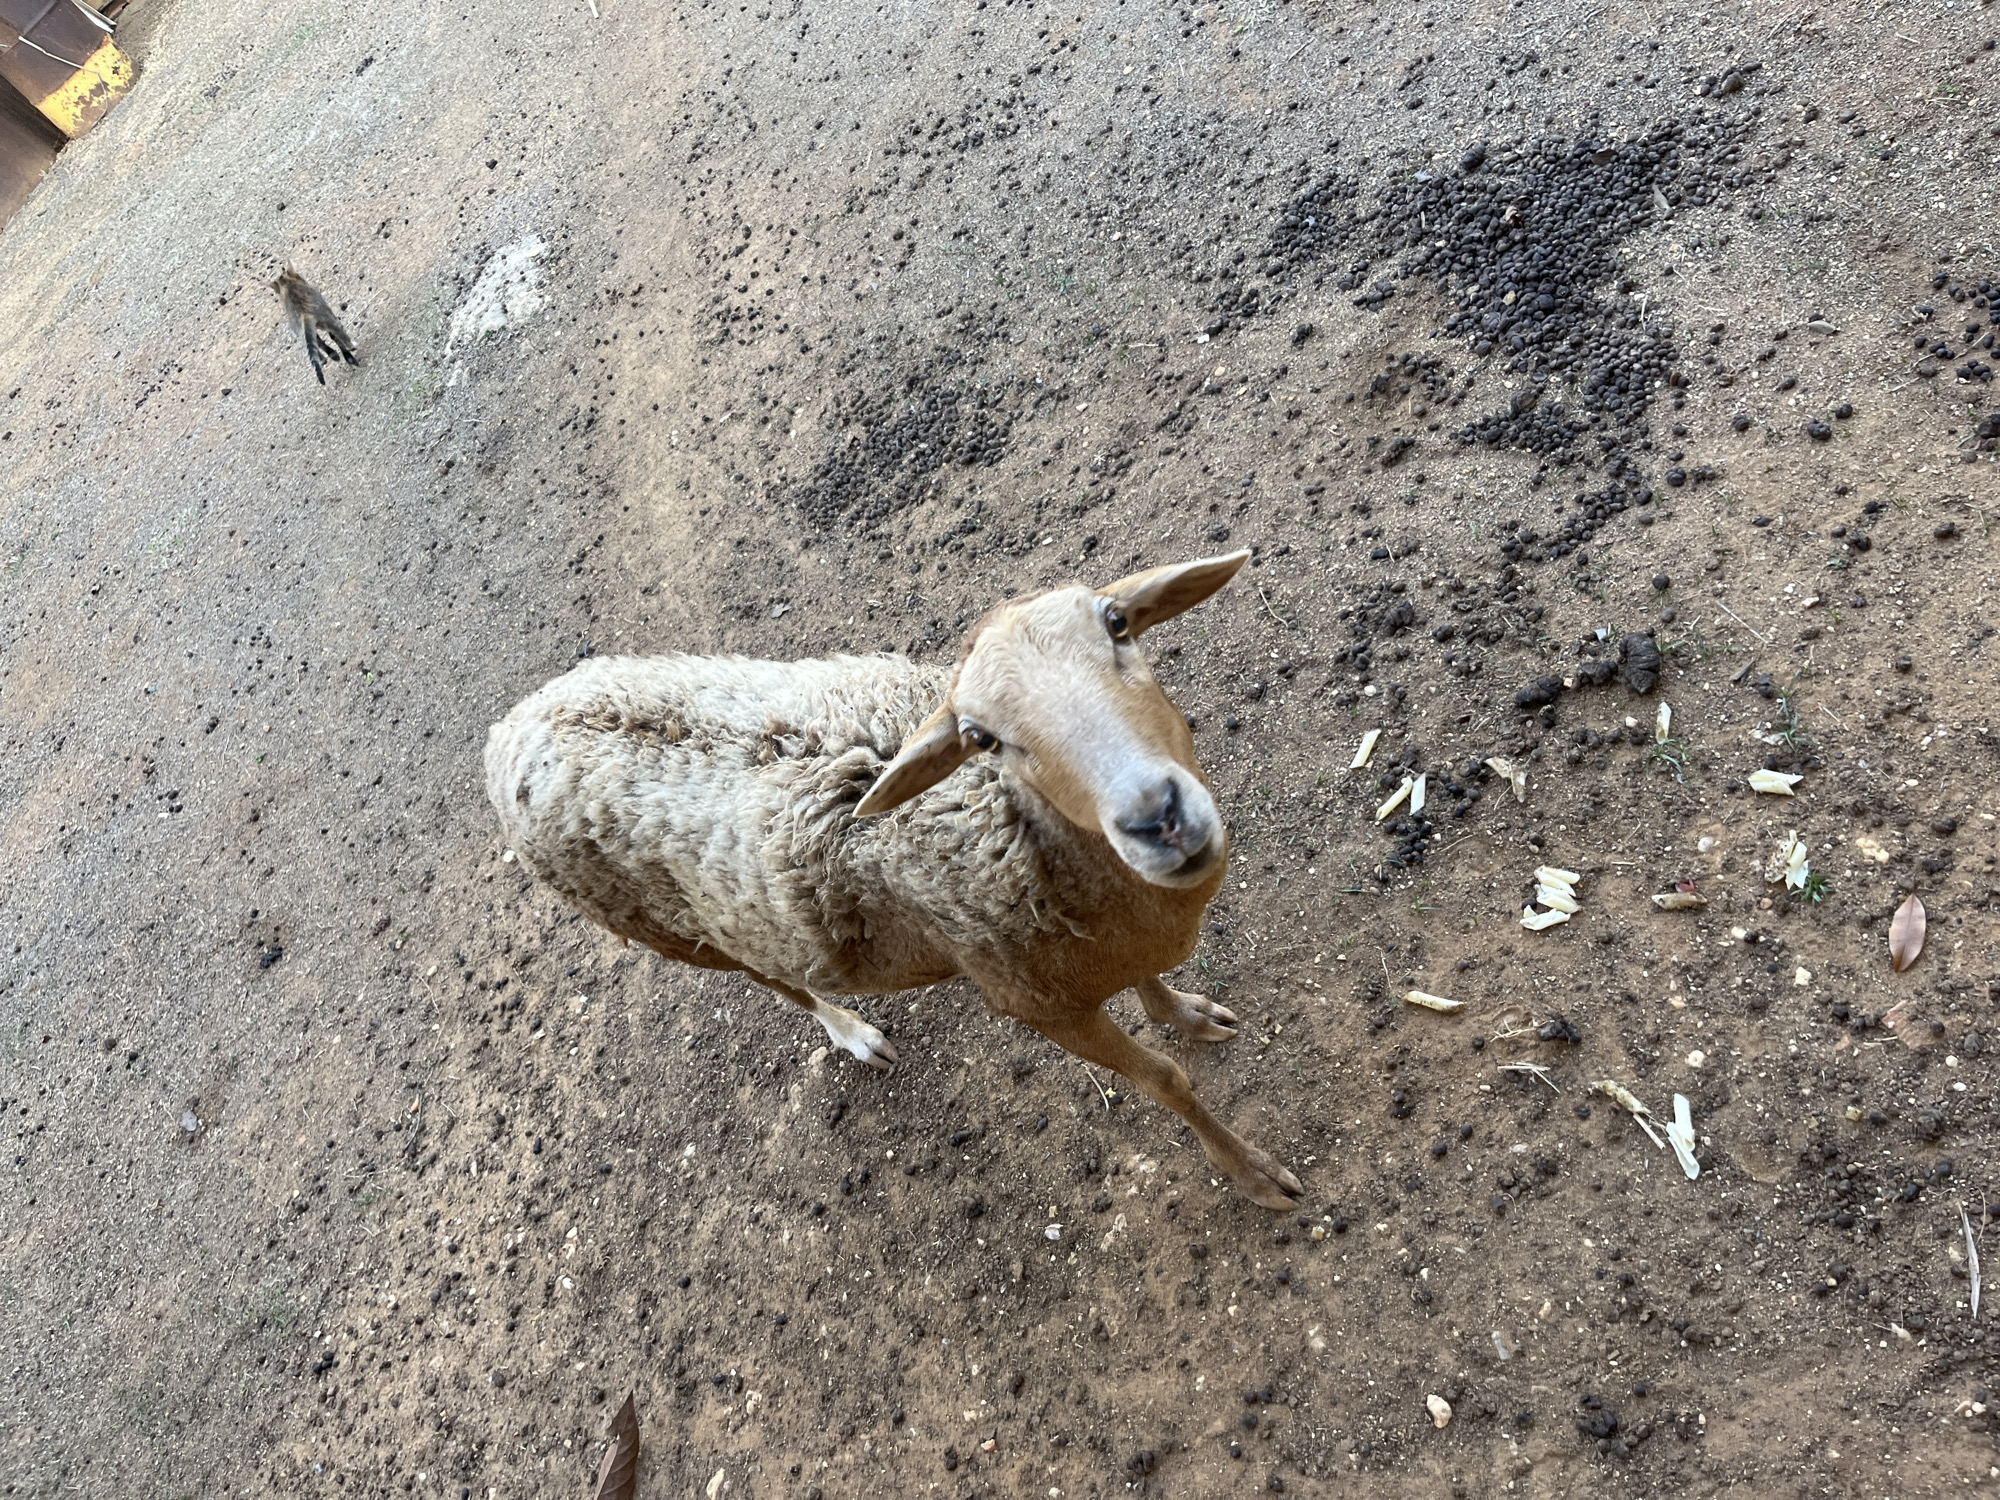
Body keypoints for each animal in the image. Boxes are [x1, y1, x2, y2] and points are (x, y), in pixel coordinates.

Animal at [484, 550, 1302, 1210]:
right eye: (982, 738)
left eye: (1118, 622)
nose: (1158, 816)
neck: (1011, 832)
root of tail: (512, 726)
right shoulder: (1037, 1003)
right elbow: (1165, 1081)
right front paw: (1255, 1175)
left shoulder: (1095, 948)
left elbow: (1152, 988)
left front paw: (1186, 1012)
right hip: (666, 929)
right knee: (775, 980)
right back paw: (854, 1034)